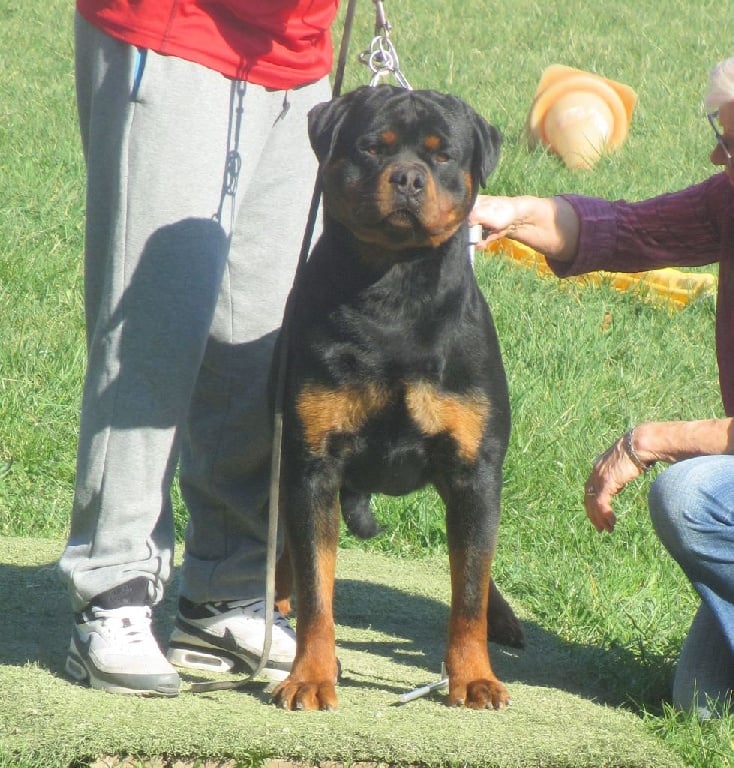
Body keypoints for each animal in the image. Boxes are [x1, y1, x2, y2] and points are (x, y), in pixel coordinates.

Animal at [274, 87, 520, 712]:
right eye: (372, 147)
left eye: (442, 155)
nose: (408, 178)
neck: (394, 293)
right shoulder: (313, 465)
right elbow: (317, 587)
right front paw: (310, 675)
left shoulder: (474, 469)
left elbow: (467, 591)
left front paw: (473, 676)